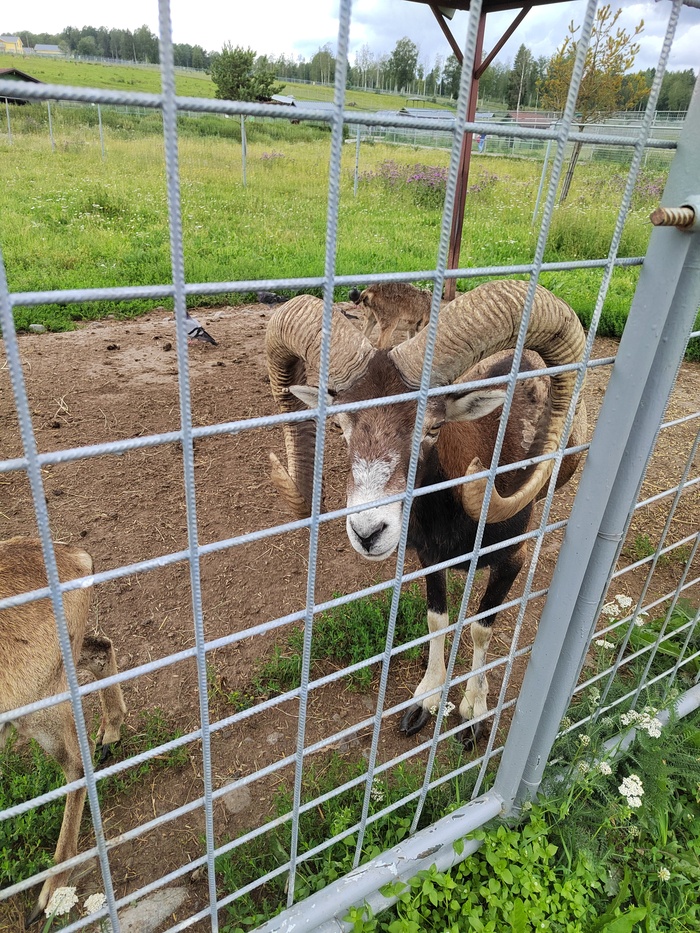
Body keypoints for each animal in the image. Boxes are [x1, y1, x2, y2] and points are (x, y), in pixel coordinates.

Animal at [0, 537, 126, 923]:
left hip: (38, 703)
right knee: (100, 647)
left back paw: (49, 892)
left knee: (77, 765)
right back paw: (110, 731)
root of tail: (77, 559)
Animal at [266, 280, 587, 746]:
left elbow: (481, 627)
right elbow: (439, 620)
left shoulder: (511, 562)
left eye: (433, 427)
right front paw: (425, 702)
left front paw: (473, 713)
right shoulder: (428, 559)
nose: (368, 532)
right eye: (342, 427)